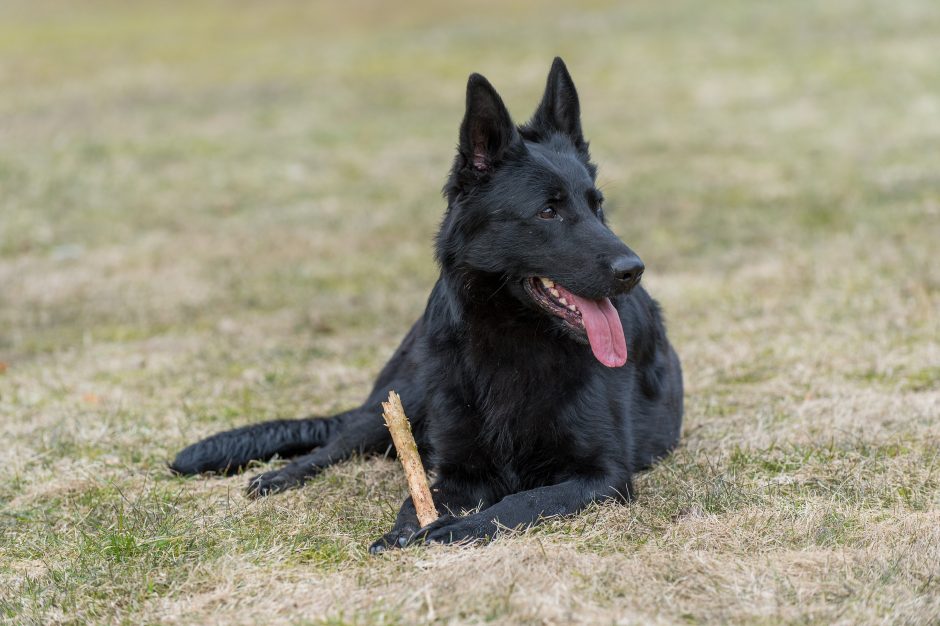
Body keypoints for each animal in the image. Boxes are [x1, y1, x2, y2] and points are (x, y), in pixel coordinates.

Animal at [171, 56, 684, 548]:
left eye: (597, 206)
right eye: (548, 211)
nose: (633, 270)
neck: (509, 342)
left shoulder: (602, 476)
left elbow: (523, 502)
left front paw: (456, 530)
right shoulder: (461, 471)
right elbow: (420, 496)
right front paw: (404, 530)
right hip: (400, 400)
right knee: (333, 444)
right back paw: (280, 476)